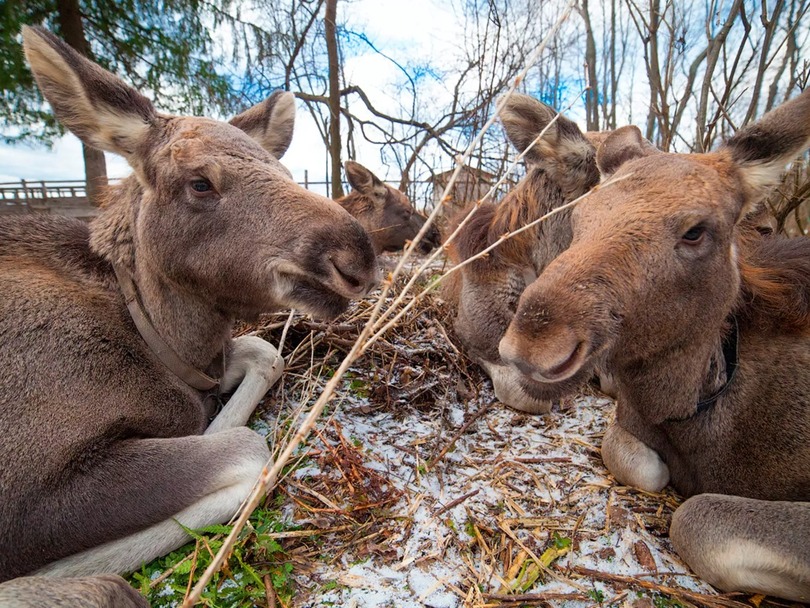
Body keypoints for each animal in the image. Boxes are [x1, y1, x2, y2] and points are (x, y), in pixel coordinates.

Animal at [0, 27, 378, 604]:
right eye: (200, 182)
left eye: (286, 171)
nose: (356, 256)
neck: (159, 342)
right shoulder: (26, 494)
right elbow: (247, 450)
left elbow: (263, 354)